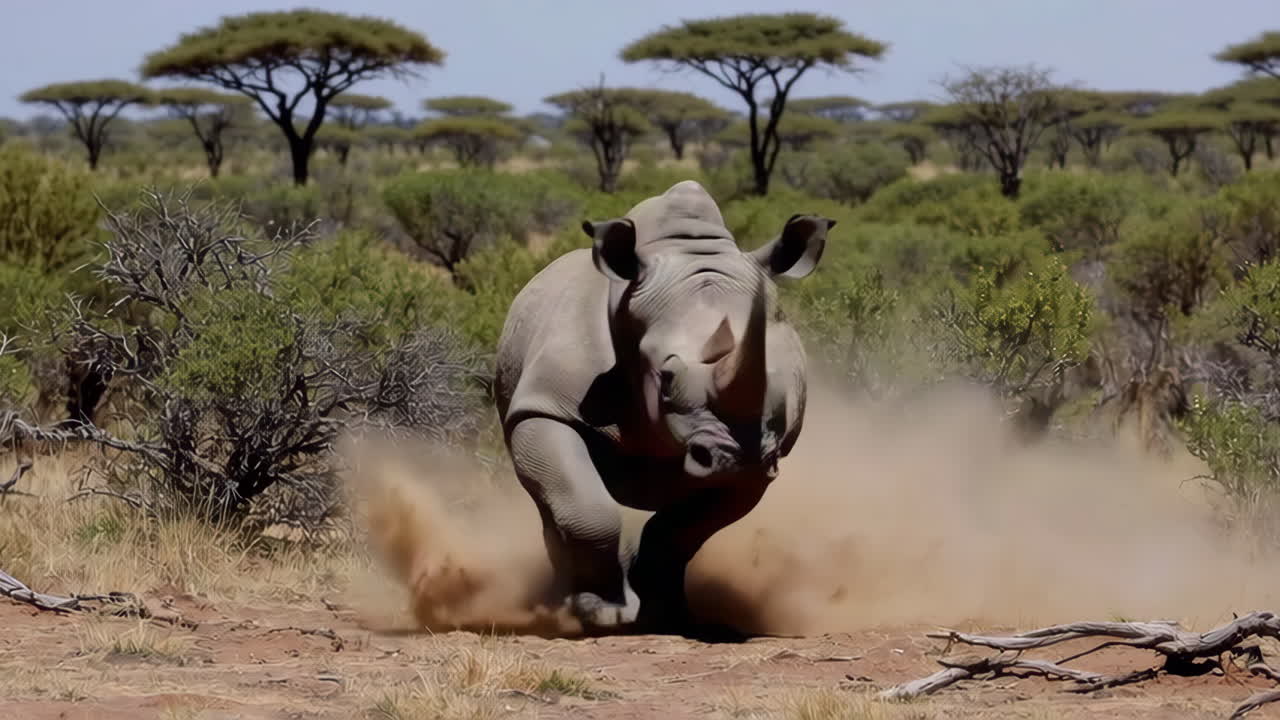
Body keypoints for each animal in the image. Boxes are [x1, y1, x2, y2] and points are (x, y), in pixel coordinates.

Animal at [493, 180, 835, 635]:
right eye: (666, 378)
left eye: (790, 382)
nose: (736, 457)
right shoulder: (545, 407)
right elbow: (587, 509)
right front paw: (604, 613)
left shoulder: (765, 455)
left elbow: (681, 531)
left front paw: (665, 612)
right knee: (551, 505)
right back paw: (561, 604)